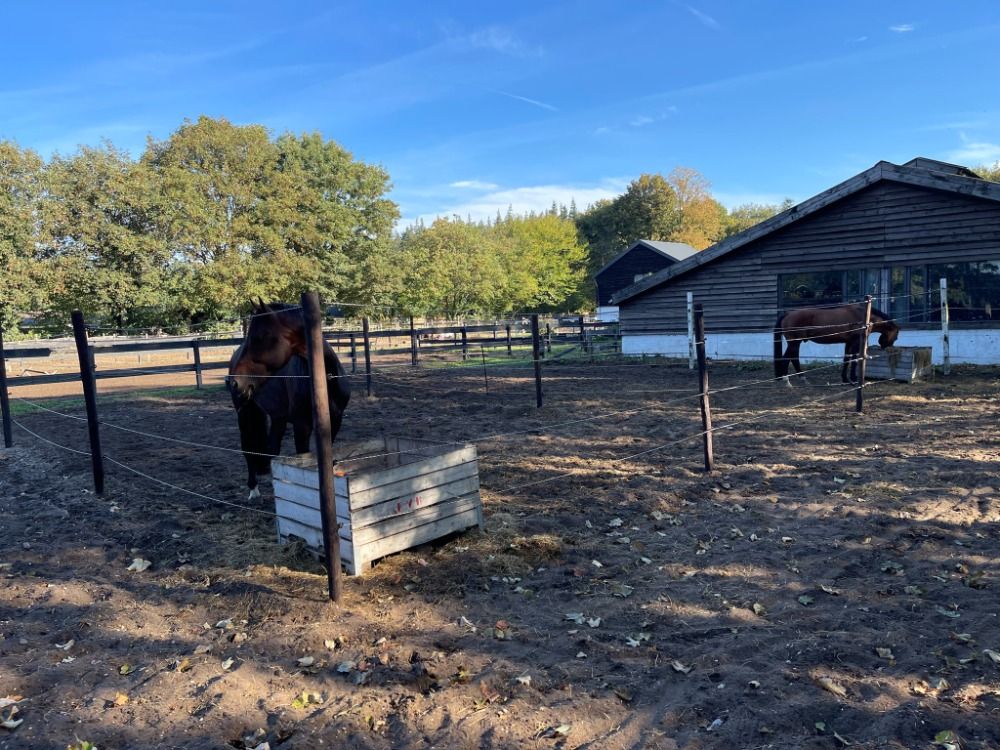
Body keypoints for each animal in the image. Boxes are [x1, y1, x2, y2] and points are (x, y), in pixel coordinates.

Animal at [227, 301, 351, 500]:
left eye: (259, 337)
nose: (235, 383)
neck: (324, 382)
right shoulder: (302, 427)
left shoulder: (334, 423)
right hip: (245, 413)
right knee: (248, 450)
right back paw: (253, 490)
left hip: (278, 419)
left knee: (272, 450)